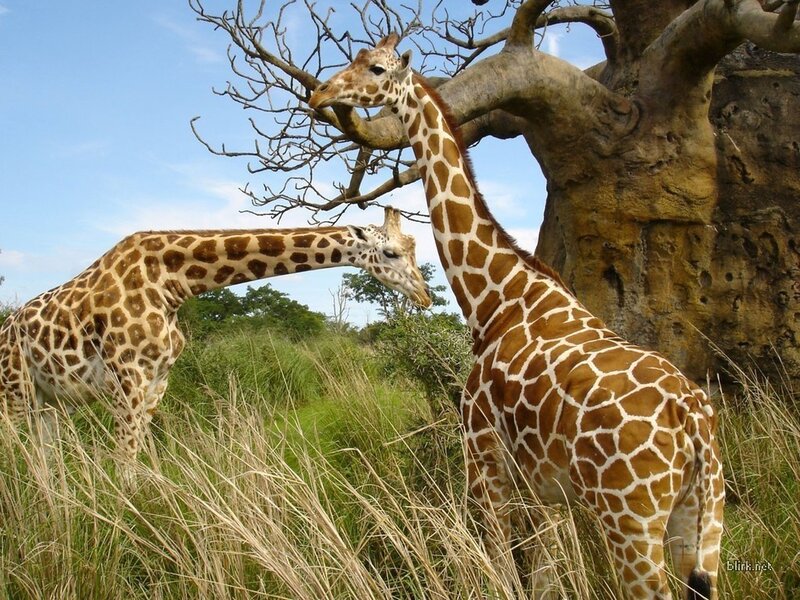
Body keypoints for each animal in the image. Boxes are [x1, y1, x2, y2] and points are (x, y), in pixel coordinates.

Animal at [0, 207, 431, 467]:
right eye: (391, 253)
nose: (425, 296)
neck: (172, 284)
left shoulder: (158, 380)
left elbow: (144, 460)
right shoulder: (128, 377)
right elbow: (125, 461)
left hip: (49, 402)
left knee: (43, 461)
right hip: (14, 393)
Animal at [310, 35, 725, 600]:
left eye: (375, 67)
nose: (321, 92)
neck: (496, 298)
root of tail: (695, 422)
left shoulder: (484, 456)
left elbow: (504, 568)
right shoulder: (544, 486)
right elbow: (545, 575)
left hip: (631, 519)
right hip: (700, 519)